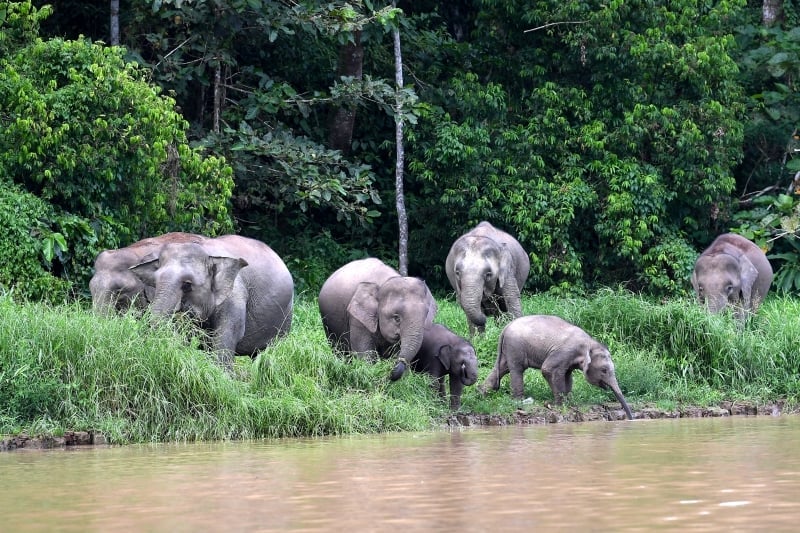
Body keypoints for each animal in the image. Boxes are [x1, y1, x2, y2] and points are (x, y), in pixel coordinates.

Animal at [479, 315, 633, 420]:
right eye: (604, 370)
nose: (631, 418)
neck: (590, 343)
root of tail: (505, 327)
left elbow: (568, 376)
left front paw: (569, 401)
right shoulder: (565, 352)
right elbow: (547, 369)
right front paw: (561, 404)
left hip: (509, 349)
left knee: (501, 368)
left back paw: (482, 393)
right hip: (515, 347)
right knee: (517, 369)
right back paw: (519, 401)